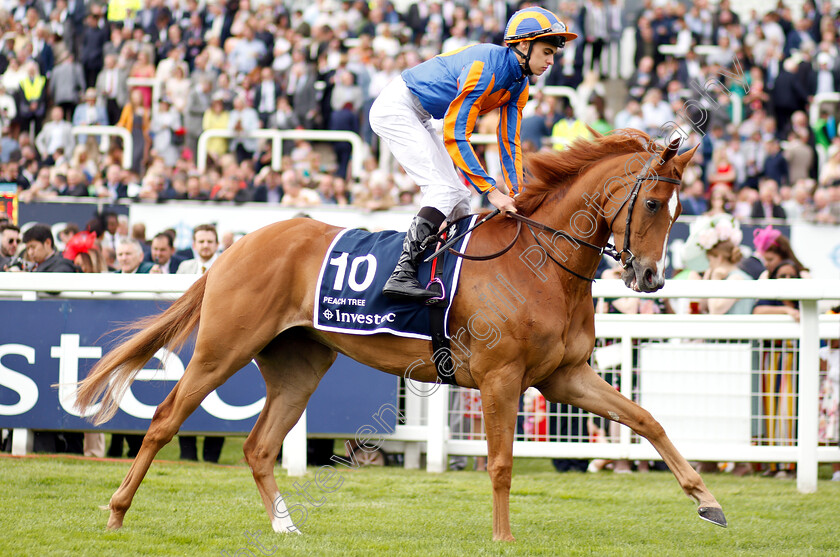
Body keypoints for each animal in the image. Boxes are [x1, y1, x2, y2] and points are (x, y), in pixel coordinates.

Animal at [75, 129, 724, 540]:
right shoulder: (501, 378)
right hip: (223, 349)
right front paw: (503, 538)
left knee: (259, 446)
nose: (651, 277)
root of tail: (235, 246)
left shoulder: (564, 375)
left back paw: (285, 525)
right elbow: (500, 463)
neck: (541, 263)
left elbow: (646, 420)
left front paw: (708, 502)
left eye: (680, 208)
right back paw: (115, 512)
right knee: (165, 419)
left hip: (299, 364)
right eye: (656, 203)